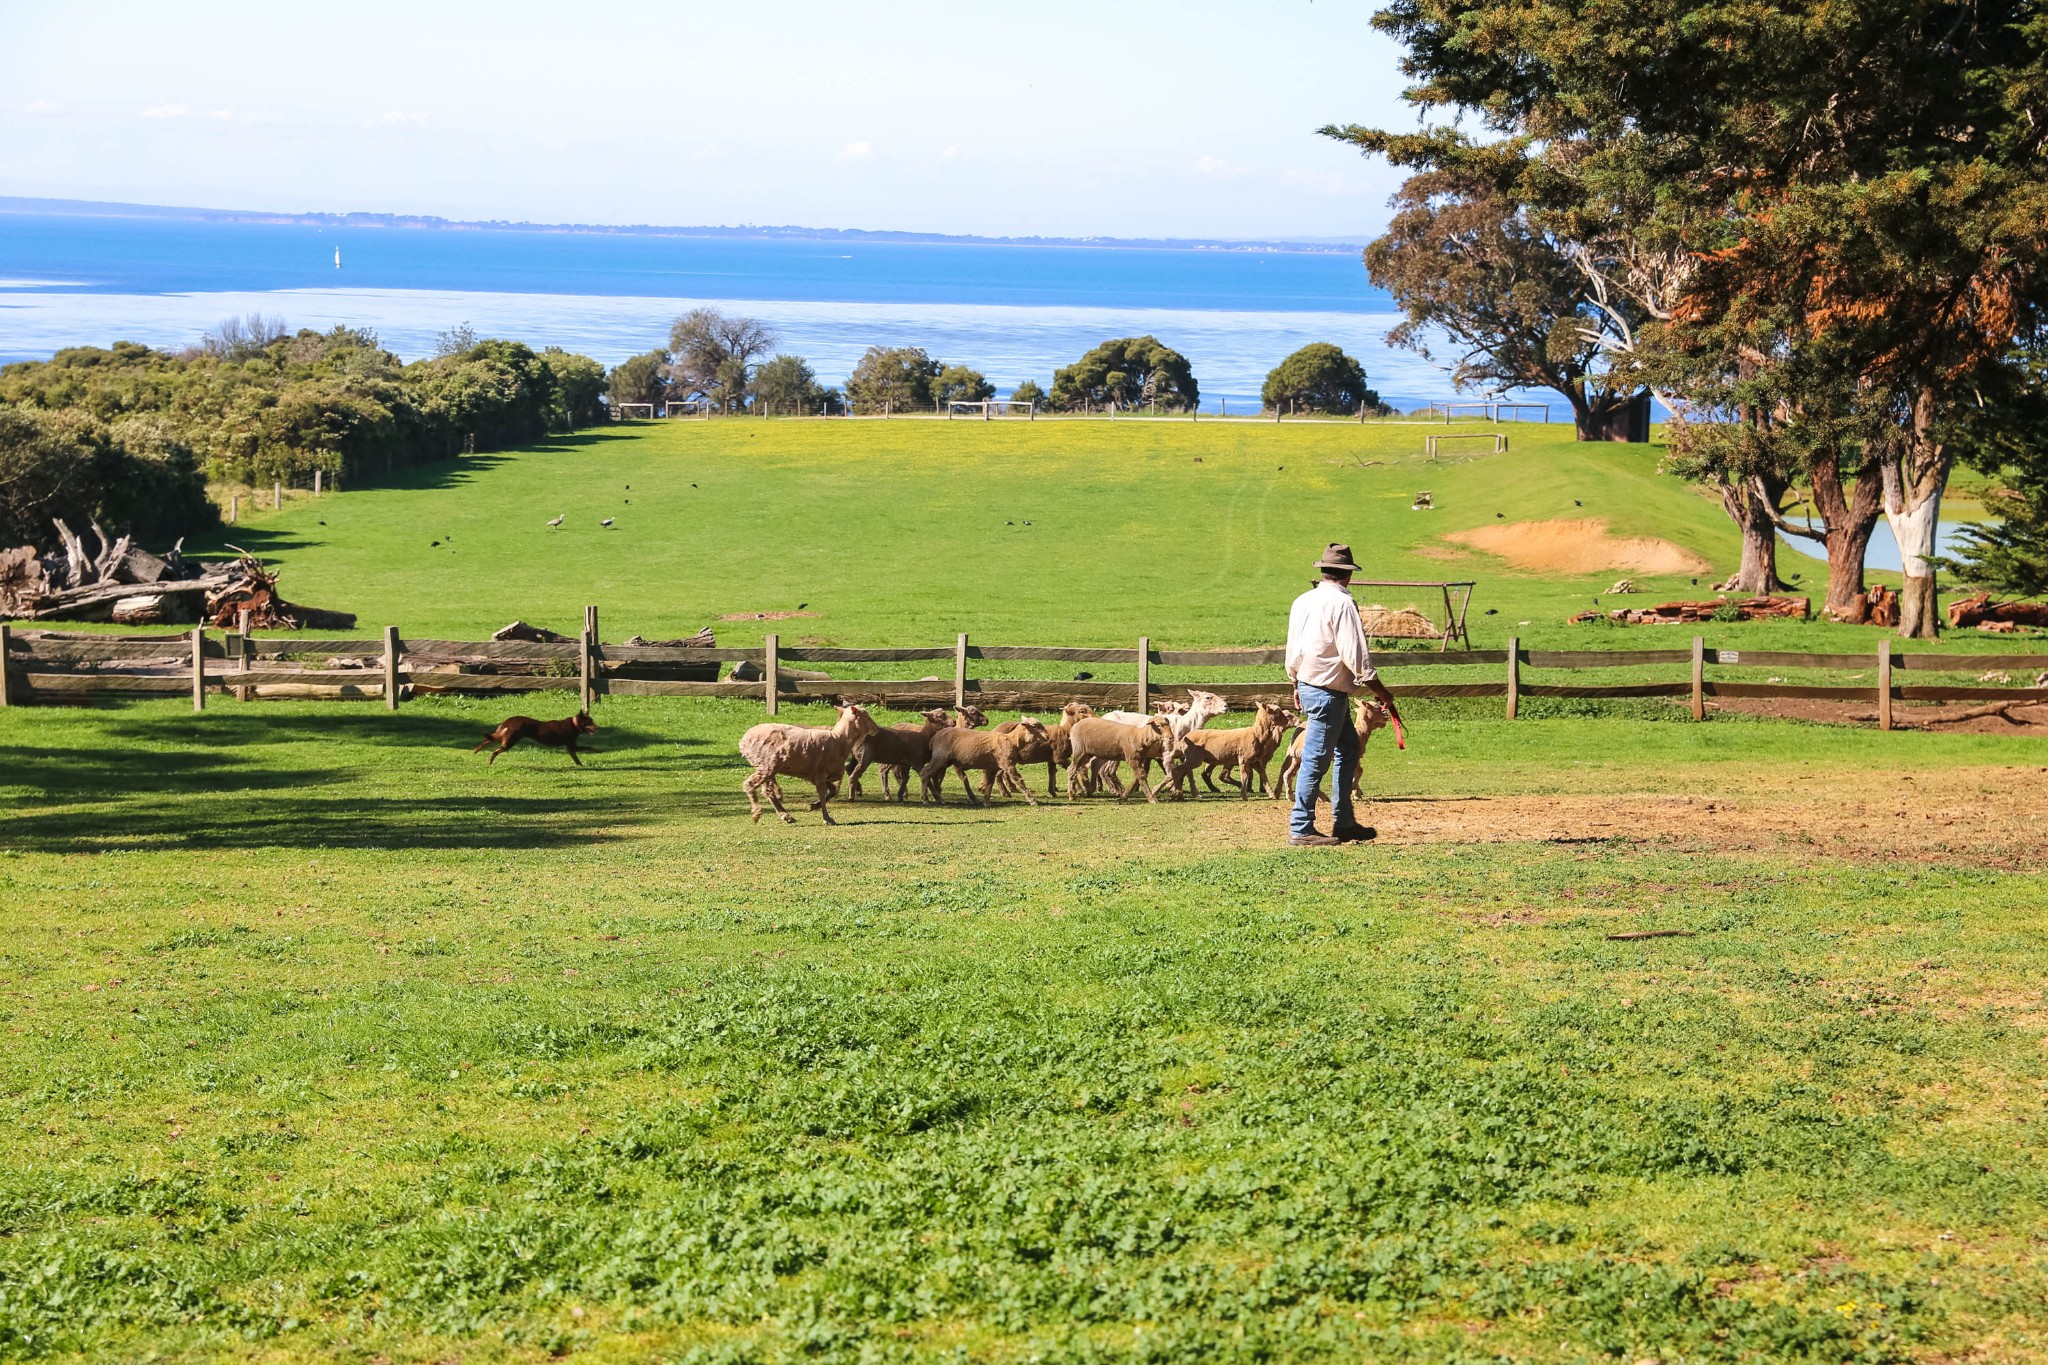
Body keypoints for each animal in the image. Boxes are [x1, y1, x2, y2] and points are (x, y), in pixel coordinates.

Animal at [741, 699, 876, 826]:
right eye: (866, 716)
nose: (876, 729)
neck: (838, 739)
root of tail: (743, 740)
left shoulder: (817, 775)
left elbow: (832, 791)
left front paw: (814, 806)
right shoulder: (821, 773)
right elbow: (823, 795)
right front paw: (827, 818)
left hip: (765, 767)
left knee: (767, 792)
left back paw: (786, 816)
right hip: (767, 766)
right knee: (749, 784)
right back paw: (757, 813)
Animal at [1269, 695, 1400, 810]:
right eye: (1377, 707)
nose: (1386, 717)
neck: (1360, 732)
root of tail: (1296, 742)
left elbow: (1356, 772)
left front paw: (1356, 792)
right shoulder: (1354, 756)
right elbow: (1359, 771)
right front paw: (1354, 792)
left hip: (1297, 759)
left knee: (1288, 774)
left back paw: (1291, 796)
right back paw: (1322, 797)